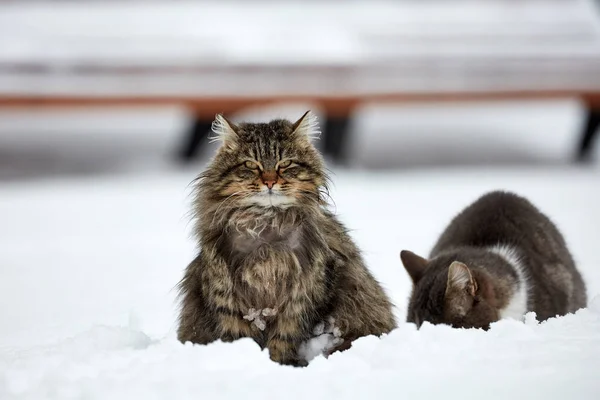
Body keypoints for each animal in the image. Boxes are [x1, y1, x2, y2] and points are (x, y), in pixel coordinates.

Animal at [176, 110, 396, 366]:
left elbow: (283, 339)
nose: (270, 181)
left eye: (285, 164)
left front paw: (278, 364)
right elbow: (238, 335)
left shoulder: (302, 296)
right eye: (250, 164)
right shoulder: (226, 295)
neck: (266, 226)